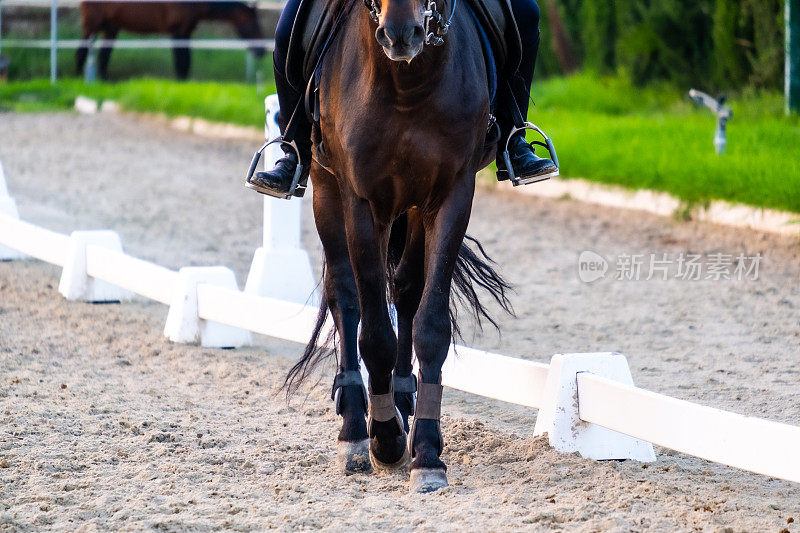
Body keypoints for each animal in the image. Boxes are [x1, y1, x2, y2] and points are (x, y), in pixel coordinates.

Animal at [75, 1, 264, 79]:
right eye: (253, 24)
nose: (261, 51)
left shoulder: (186, 33)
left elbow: (186, 61)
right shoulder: (178, 33)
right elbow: (181, 61)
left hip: (111, 28)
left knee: (104, 56)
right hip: (91, 27)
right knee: (81, 52)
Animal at [288, 0, 512, 490]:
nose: (400, 35)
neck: (408, 84)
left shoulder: (451, 194)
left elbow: (430, 323)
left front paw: (426, 452)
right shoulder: (361, 199)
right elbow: (373, 330)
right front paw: (385, 438)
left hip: (410, 208)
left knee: (407, 289)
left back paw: (404, 398)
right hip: (325, 187)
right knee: (345, 294)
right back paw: (356, 429)